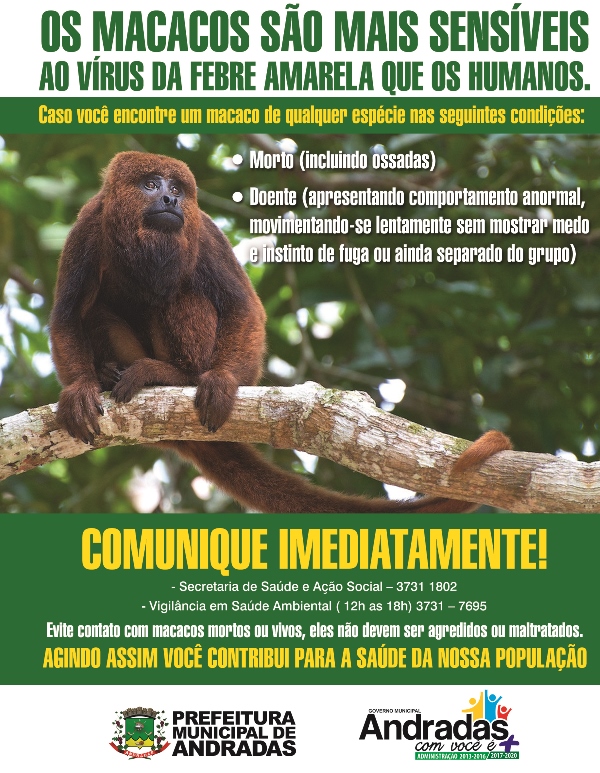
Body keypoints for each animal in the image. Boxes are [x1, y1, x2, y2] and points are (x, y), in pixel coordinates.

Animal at [49, 151, 510, 513]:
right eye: (150, 184)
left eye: (177, 188)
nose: (169, 198)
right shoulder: (87, 225)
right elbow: (67, 316)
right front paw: (80, 390)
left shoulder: (204, 229)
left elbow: (243, 307)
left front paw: (221, 382)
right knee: (96, 310)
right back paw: (112, 373)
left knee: (181, 294)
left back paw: (175, 374)